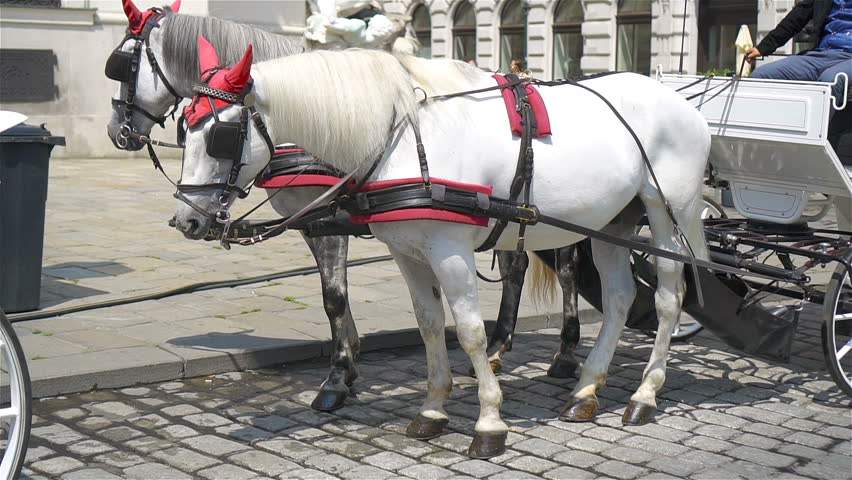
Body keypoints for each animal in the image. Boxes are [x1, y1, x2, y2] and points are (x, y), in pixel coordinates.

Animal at [103, 0, 583, 412]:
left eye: (122, 63)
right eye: (186, 128)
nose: (117, 131)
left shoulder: (329, 220)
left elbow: (334, 297)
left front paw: (336, 378)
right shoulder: (313, 222)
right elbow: (333, 295)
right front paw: (349, 362)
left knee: (566, 269)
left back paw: (562, 353)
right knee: (518, 264)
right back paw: (505, 346)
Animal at [172, 39, 711, 458]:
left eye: (221, 135)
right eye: (183, 127)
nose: (186, 219)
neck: (400, 138)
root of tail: (680, 101)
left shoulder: (450, 250)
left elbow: (469, 331)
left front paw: (489, 422)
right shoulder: (408, 252)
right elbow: (431, 326)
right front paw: (432, 409)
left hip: (669, 212)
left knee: (669, 299)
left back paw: (644, 395)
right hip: (611, 221)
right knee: (619, 299)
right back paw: (585, 390)